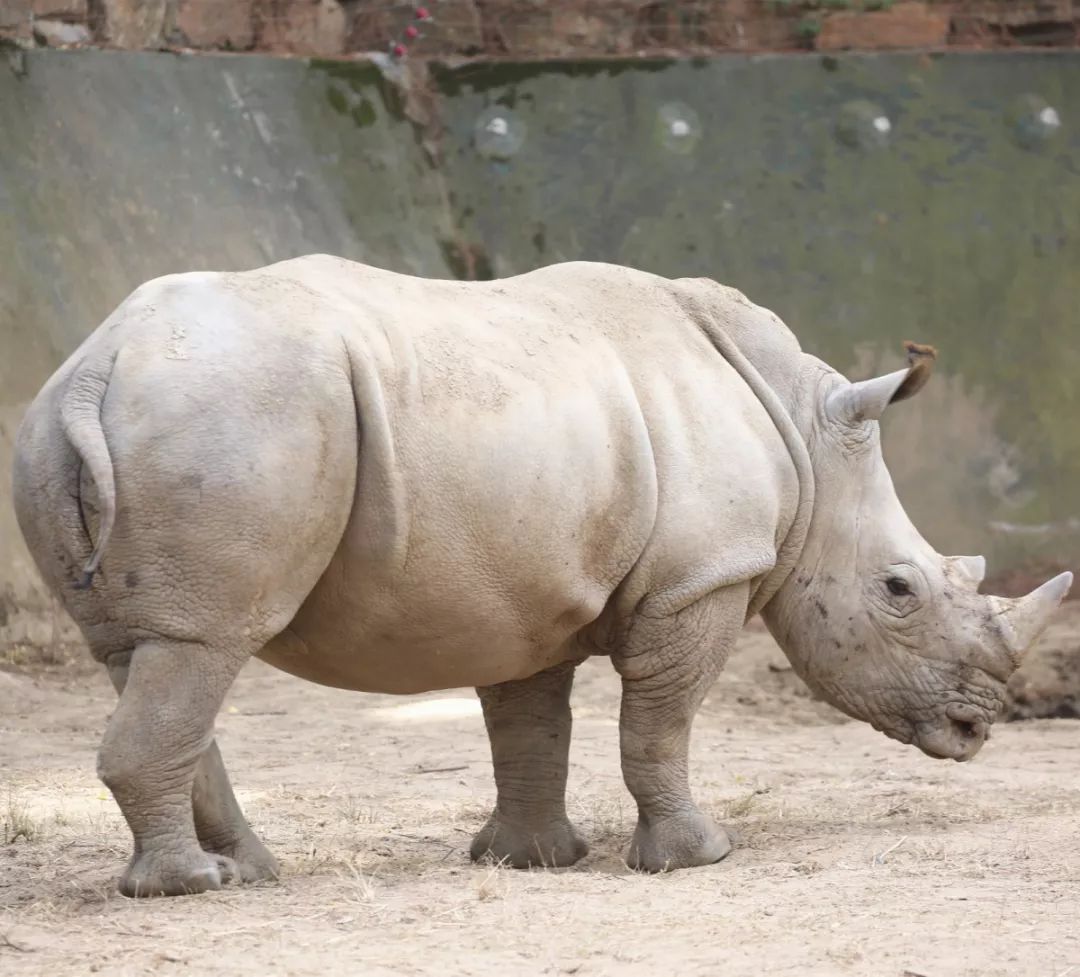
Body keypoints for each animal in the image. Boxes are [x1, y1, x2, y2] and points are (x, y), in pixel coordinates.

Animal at [10, 256, 1071, 893]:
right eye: (900, 590)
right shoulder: (702, 578)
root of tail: (101, 362)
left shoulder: (518, 586)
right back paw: (193, 887)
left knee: (148, 652)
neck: (809, 440)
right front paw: (696, 858)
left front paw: (530, 860)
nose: (977, 727)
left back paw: (251, 870)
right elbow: (658, 723)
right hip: (228, 416)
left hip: (63, 428)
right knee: (202, 644)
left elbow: (530, 725)